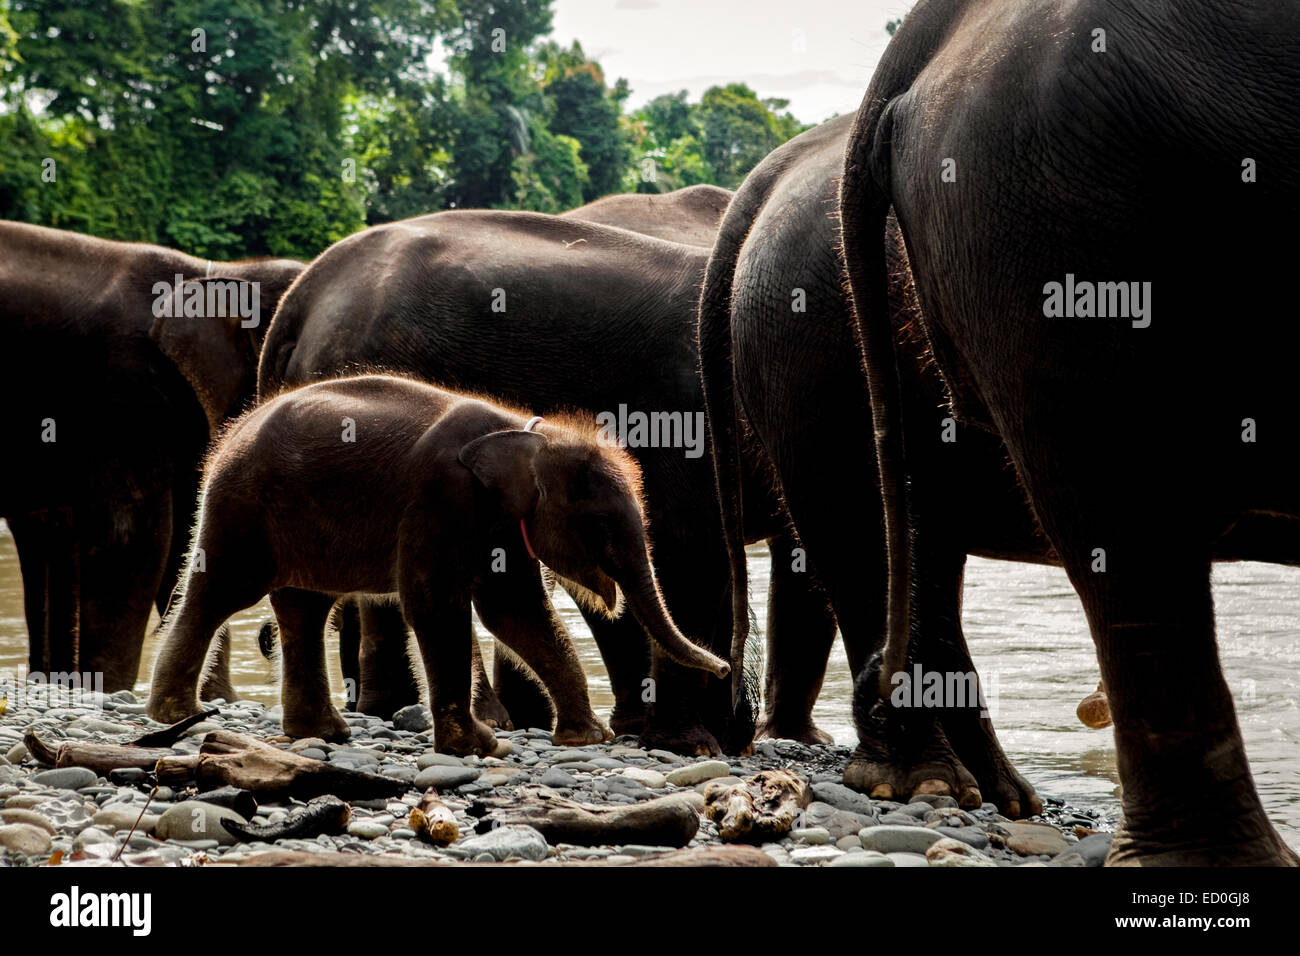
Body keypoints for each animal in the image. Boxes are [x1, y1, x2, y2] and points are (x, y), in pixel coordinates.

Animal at [1, 221, 304, 691]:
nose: (265, 638)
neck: (222, 272)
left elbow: (189, 533)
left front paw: (215, 698)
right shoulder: (126, 393)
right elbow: (131, 535)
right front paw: (108, 690)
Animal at [147, 374, 733, 754]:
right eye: (599, 525)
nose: (726, 668)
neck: (530, 433)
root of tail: (231, 432)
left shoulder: (502, 523)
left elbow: (514, 612)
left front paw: (587, 738)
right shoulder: (440, 499)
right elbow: (435, 604)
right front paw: (480, 747)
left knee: (303, 610)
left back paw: (321, 735)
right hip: (239, 507)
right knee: (221, 593)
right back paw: (176, 717)